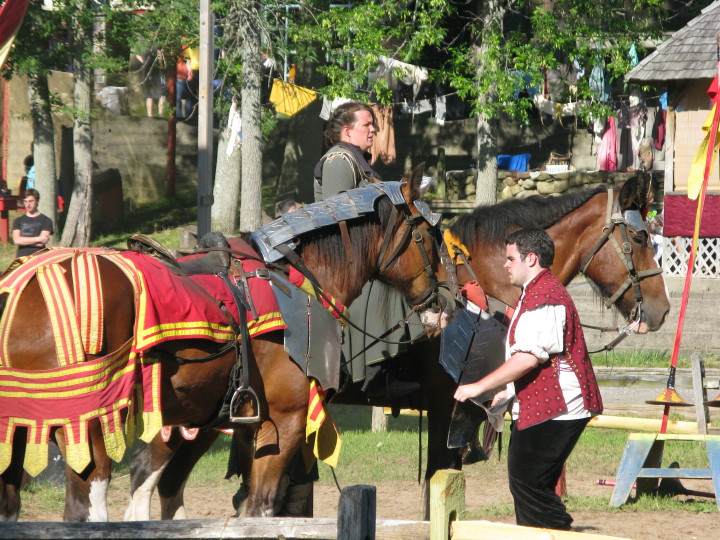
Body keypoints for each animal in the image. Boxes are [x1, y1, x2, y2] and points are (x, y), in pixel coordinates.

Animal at [0, 167, 450, 520]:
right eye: (429, 236)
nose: (446, 300)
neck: (301, 277)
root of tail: (19, 282)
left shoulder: (241, 424)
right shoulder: (284, 421)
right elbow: (260, 509)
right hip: (86, 426)